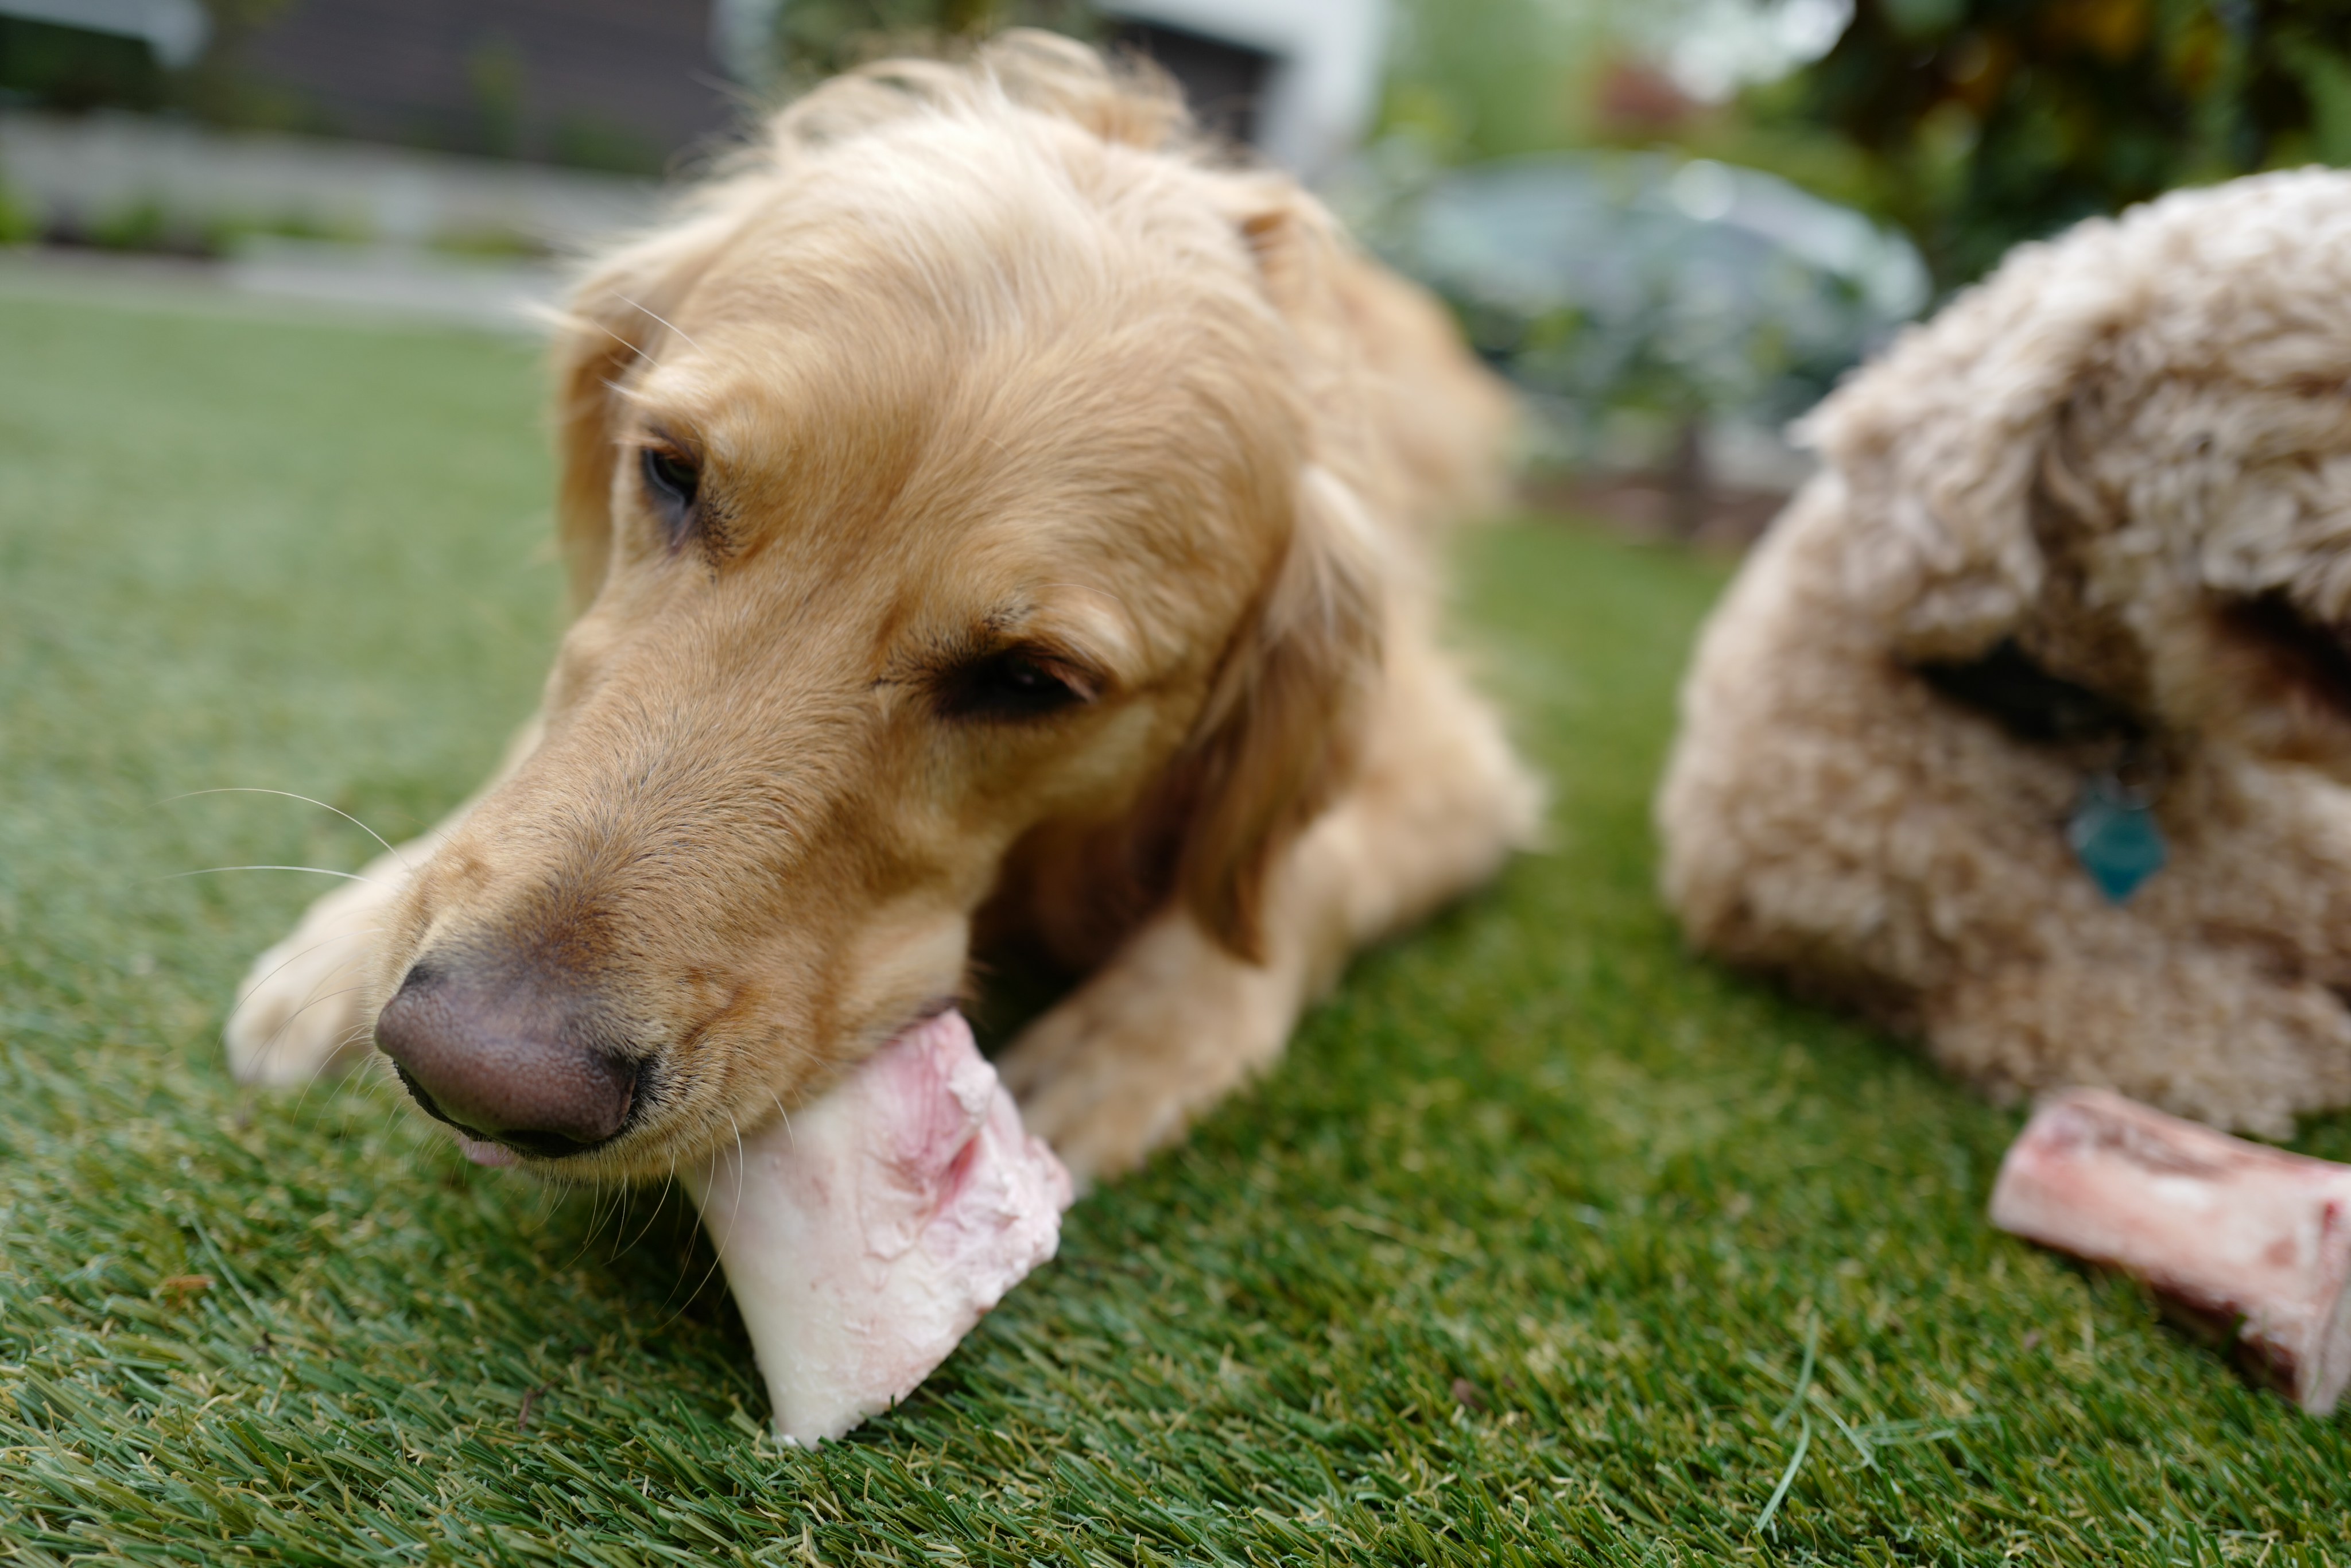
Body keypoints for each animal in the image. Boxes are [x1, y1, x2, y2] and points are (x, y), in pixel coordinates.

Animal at [221, 33, 1542, 1189]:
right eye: (670, 472)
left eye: (1031, 681)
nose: (477, 1073)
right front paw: (350, 935)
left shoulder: (1459, 756)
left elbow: (1294, 872)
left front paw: (1126, 1044)